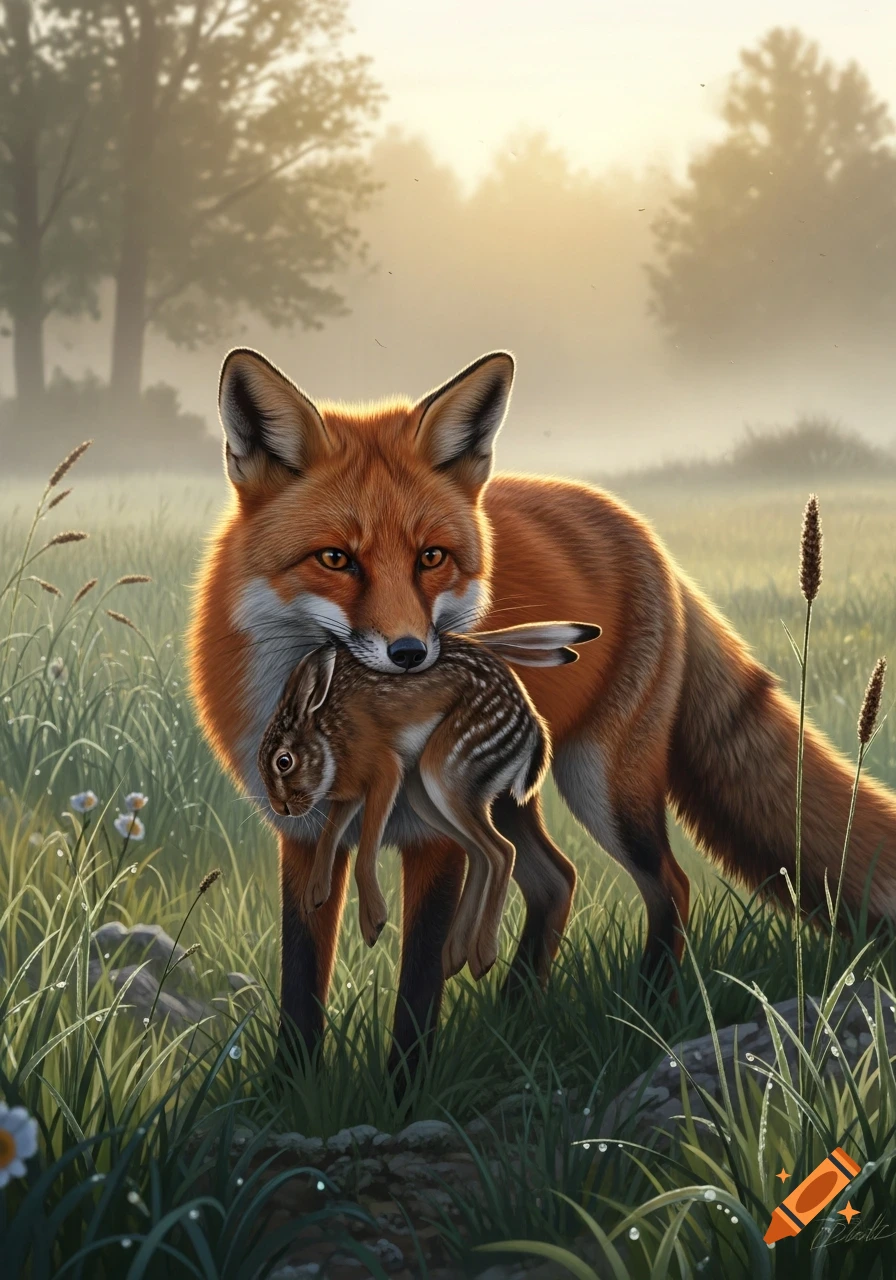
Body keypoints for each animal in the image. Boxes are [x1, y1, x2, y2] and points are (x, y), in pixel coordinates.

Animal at [256, 626, 599, 981]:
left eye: (284, 761)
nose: (281, 808)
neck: (328, 735)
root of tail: (533, 728)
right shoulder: (351, 795)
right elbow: (329, 836)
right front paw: (314, 896)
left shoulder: (385, 774)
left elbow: (365, 848)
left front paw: (373, 923)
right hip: (426, 794)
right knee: (481, 853)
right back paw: (452, 956)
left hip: (446, 773)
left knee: (502, 852)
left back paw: (481, 958)